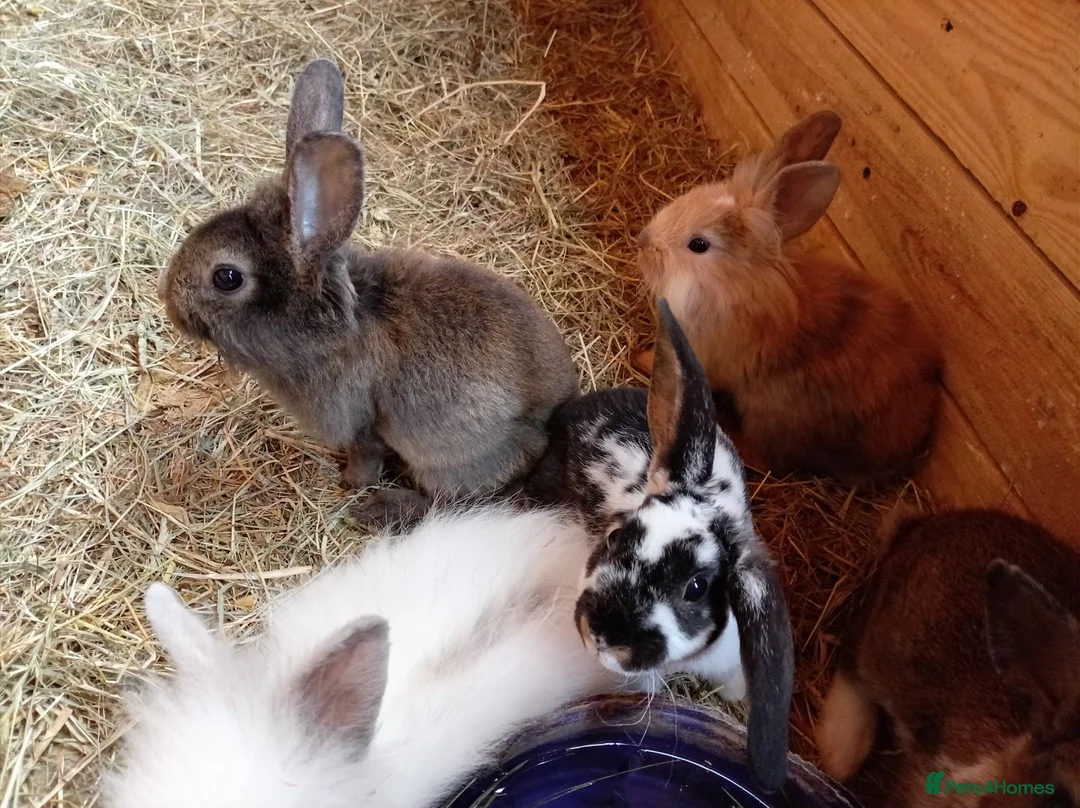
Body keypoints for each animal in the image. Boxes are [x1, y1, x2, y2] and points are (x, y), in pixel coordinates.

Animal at [158, 59, 578, 530]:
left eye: (227, 278)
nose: (169, 302)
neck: (332, 330)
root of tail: (553, 421)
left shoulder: (360, 422)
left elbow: (366, 455)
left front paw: (350, 483)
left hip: (452, 462)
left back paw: (385, 507)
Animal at [634, 110, 942, 486]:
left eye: (699, 244)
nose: (644, 240)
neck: (731, 283)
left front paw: (641, 359)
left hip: (769, 411)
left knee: (770, 461)